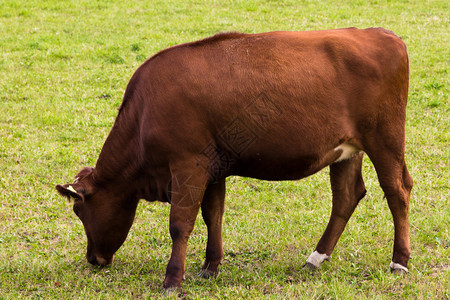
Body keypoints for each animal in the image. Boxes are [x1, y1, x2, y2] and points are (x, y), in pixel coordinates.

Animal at [57, 28, 414, 290]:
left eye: (79, 210)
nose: (93, 259)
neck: (144, 114)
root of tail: (382, 34)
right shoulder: (213, 168)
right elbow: (213, 215)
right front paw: (210, 266)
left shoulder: (188, 165)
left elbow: (180, 223)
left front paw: (172, 279)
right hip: (347, 150)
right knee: (346, 196)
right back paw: (316, 257)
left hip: (385, 139)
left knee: (397, 192)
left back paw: (399, 261)